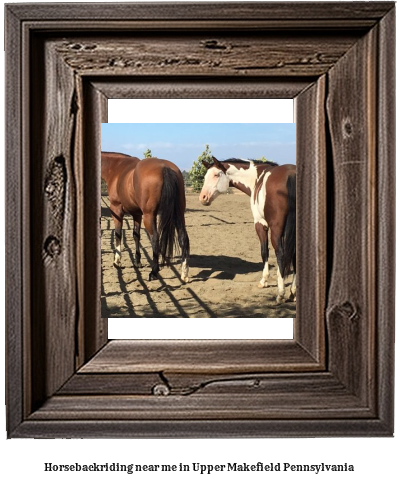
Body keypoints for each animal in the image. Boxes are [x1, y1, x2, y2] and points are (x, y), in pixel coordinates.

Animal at [101, 152, 190, 282]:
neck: (116, 167)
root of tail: (165, 168)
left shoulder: (116, 210)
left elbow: (118, 234)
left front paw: (117, 261)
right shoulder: (137, 214)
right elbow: (136, 235)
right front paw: (137, 262)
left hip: (149, 216)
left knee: (155, 239)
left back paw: (153, 272)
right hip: (178, 214)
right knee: (183, 238)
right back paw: (184, 273)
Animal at [200, 157, 296, 304]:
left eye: (216, 175)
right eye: (205, 177)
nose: (203, 197)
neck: (257, 178)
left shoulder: (260, 224)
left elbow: (264, 252)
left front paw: (264, 281)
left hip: (276, 230)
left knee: (280, 253)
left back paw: (281, 294)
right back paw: (293, 292)